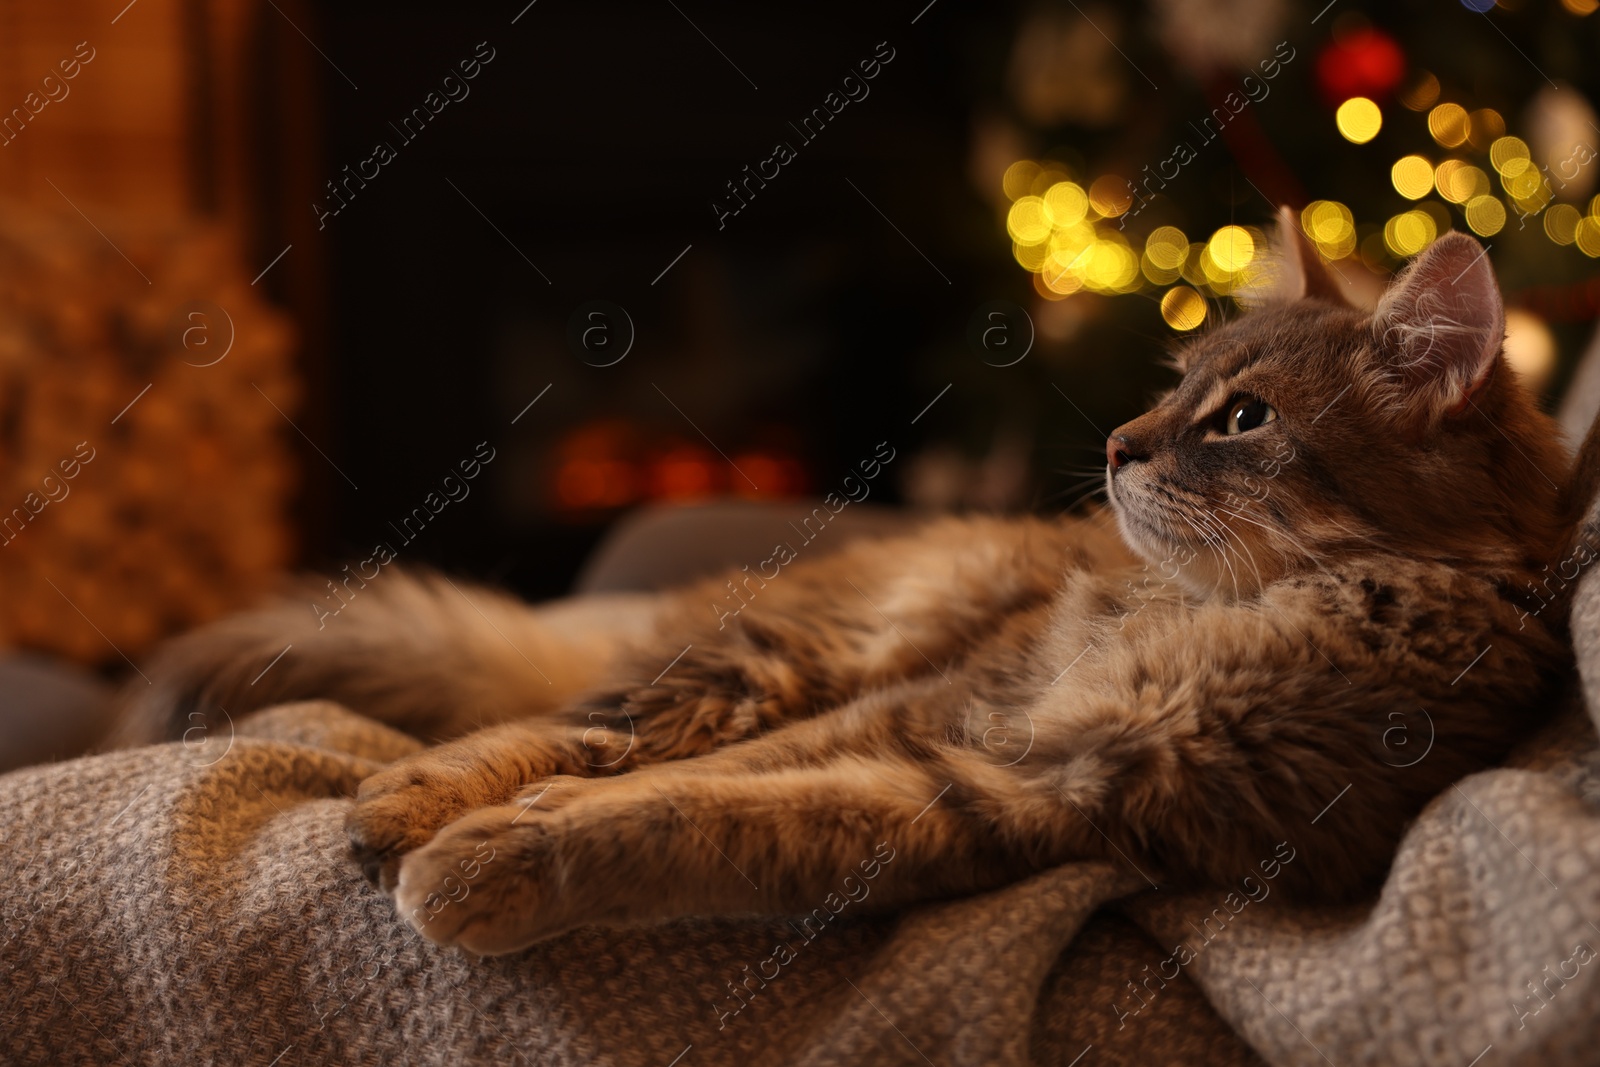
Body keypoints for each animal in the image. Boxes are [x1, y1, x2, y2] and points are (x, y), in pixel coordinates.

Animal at [116, 206, 1587, 953]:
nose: (1118, 445)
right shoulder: (956, 700)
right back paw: (404, 795)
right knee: (586, 715)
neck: (1244, 610)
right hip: (796, 653)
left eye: (1244, 421)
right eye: (1178, 387)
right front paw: (480, 831)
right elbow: (683, 780)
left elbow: (704, 820)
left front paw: (509, 856)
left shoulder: (1035, 790)